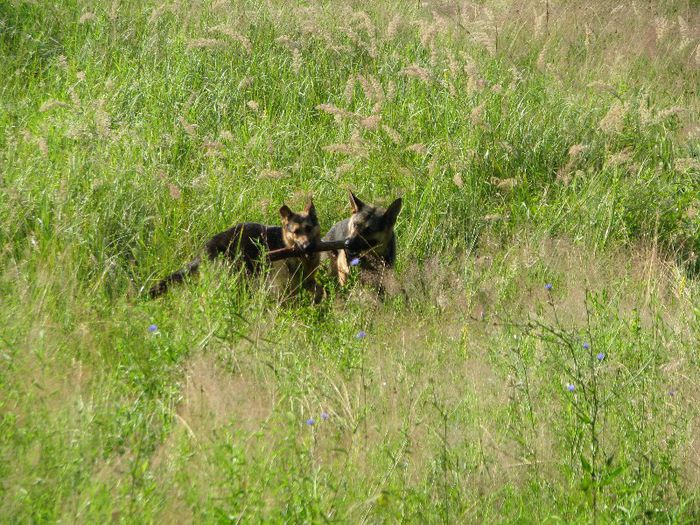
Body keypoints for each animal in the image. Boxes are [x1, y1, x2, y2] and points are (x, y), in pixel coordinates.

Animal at [150, 200, 322, 300]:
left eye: (308, 228)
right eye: (296, 232)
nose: (307, 247)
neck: (285, 243)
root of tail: (204, 251)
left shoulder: (307, 281)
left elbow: (319, 292)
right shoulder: (282, 287)